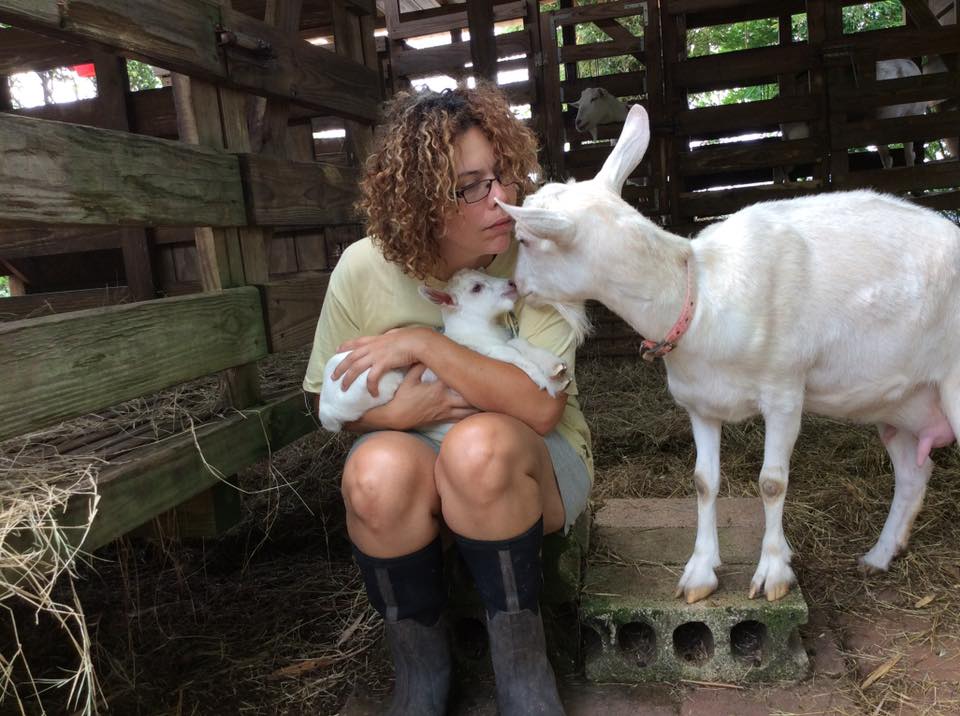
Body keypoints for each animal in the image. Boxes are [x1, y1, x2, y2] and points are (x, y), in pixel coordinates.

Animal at [318, 268, 568, 436]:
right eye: (476, 288)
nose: (512, 283)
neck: (479, 330)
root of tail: (324, 409)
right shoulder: (488, 350)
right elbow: (514, 355)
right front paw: (544, 381)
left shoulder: (501, 341)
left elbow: (520, 344)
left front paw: (556, 368)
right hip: (377, 388)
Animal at [498, 102, 956, 604]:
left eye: (525, 240)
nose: (515, 286)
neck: (698, 294)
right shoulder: (701, 403)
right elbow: (704, 482)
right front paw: (700, 573)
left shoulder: (784, 393)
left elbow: (772, 482)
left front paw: (773, 573)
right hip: (899, 404)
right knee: (913, 473)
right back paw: (879, 555)